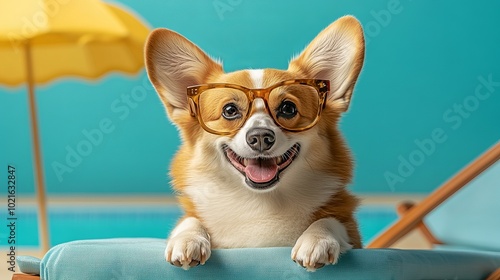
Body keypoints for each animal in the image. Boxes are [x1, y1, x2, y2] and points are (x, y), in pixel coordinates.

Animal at [145, 15, 364, 272]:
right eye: (229, 110)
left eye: (288, 108)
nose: (260, 137)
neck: (261, 202)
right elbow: (190, 220)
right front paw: (187, 239)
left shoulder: (351, 231)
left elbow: (331, 221)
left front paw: (317, 239)